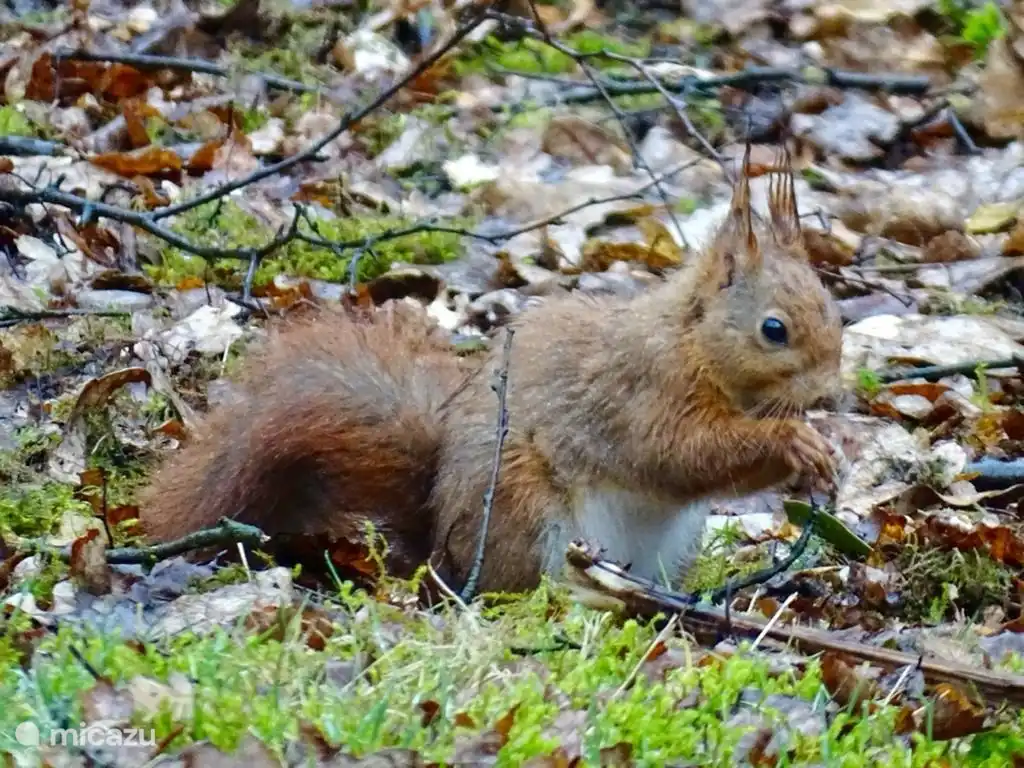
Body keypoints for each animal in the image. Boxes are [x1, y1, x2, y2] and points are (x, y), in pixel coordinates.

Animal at [140, 145, 843, 594]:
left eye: (832, 306)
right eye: (774, 330)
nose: (830, 390)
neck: (691, 342)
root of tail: (442, 555)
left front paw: (822, 457)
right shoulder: (641, 390)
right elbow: (677, 453)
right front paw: (793, 441)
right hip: (524, 508)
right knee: (519, 587)